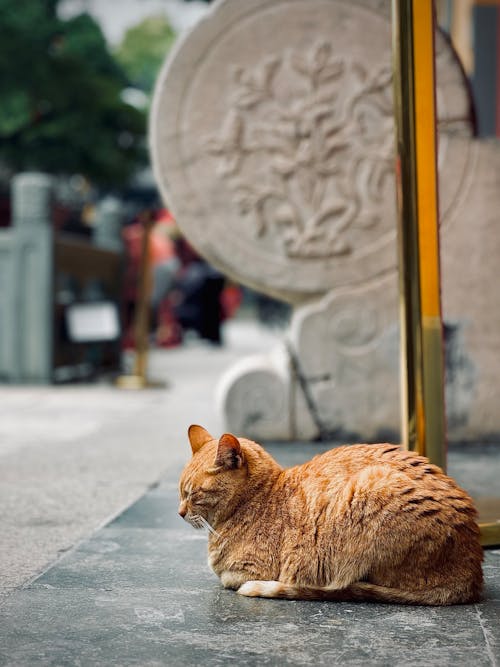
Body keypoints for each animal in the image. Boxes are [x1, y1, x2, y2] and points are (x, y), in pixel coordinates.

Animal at [178, 428, 482, 604]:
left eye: (193, 494)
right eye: (181, 493)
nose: (180, 513)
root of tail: (473, 573)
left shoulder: (250, 570)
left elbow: (227, 578)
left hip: (371, 488)